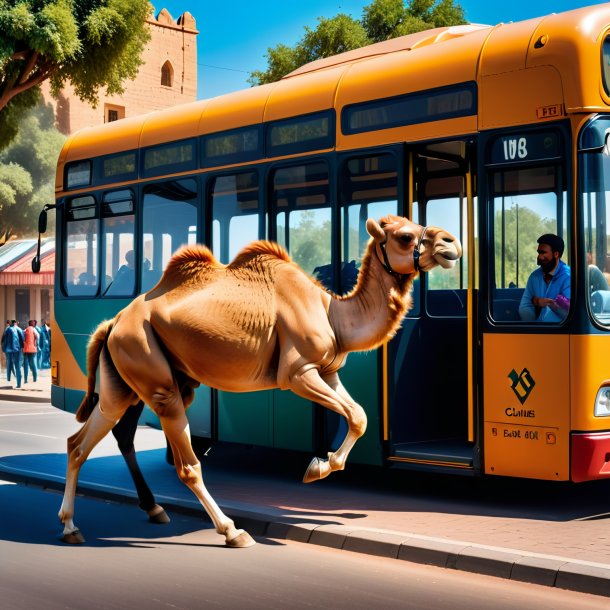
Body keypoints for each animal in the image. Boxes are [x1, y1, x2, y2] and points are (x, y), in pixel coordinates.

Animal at [59, 214, 460, 548]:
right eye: (405, 236)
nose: (451, 242)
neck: (334, 313)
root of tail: (112, 323)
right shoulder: (298, 373)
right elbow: (351, 413)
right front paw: (317, 467)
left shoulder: (328, 371)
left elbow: (359, 416)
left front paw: (319, 466)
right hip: (155, 376)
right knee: (186, 465)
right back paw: (231, 531)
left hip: (126, 385)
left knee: (80, 442)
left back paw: (74, 526)